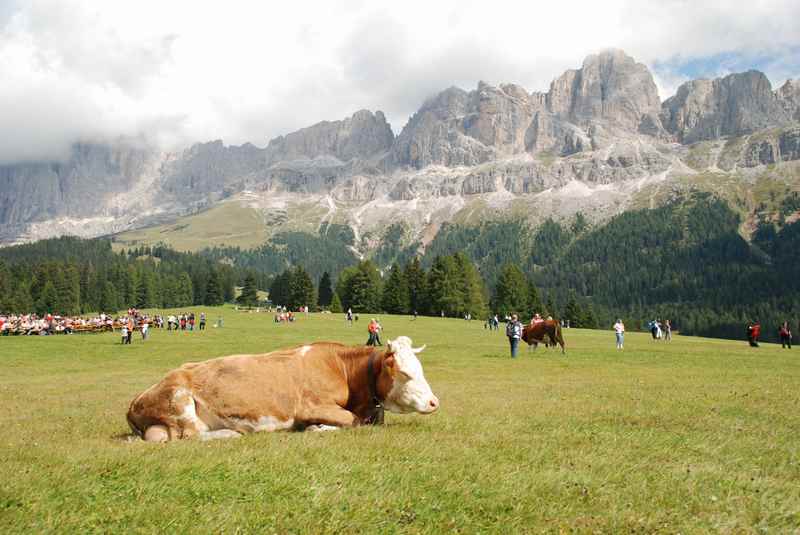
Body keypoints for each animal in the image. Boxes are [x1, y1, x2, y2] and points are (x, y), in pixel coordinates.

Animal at [126, 338, 438, 442]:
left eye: (422, 369)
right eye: (406, 373)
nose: (435, 402)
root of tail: (134, 401)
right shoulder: (310, 406)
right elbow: (353, 421)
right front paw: (316, 428)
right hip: (179, 397)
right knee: (190, 434)